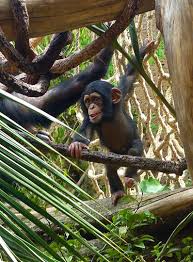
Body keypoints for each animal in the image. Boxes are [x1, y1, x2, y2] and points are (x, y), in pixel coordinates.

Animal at [68, 40, 153, 205]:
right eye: (87, 101)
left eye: (96, 99)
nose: (91, 107)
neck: (109, 116)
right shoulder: (90, 119)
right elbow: (86, 130)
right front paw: (77, 144)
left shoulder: (122, 91)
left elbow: (129, 76)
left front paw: (144, 48)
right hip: (115, 156)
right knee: (110, 167)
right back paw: (118, 191)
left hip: (127, 153)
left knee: (134, 150)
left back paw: (130, 178)